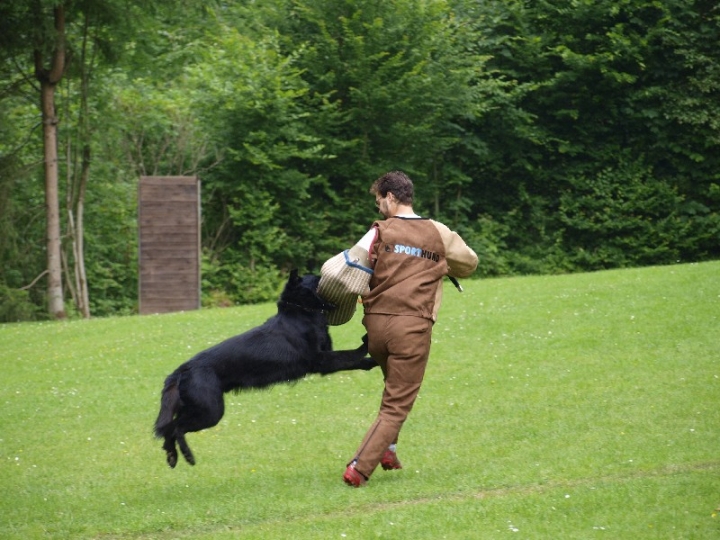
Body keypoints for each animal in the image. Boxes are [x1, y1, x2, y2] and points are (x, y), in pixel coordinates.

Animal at [153, 270, 376, 468]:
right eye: (317, 278)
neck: (300, 312)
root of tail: (182, 370)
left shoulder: (325, 358)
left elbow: (353, 359)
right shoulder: (321, 361)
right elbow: (350, 355)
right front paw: (368, 348)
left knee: (169, 429)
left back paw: (171, 456)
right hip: (210, 411)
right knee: (175, 427)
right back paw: (186, 455)